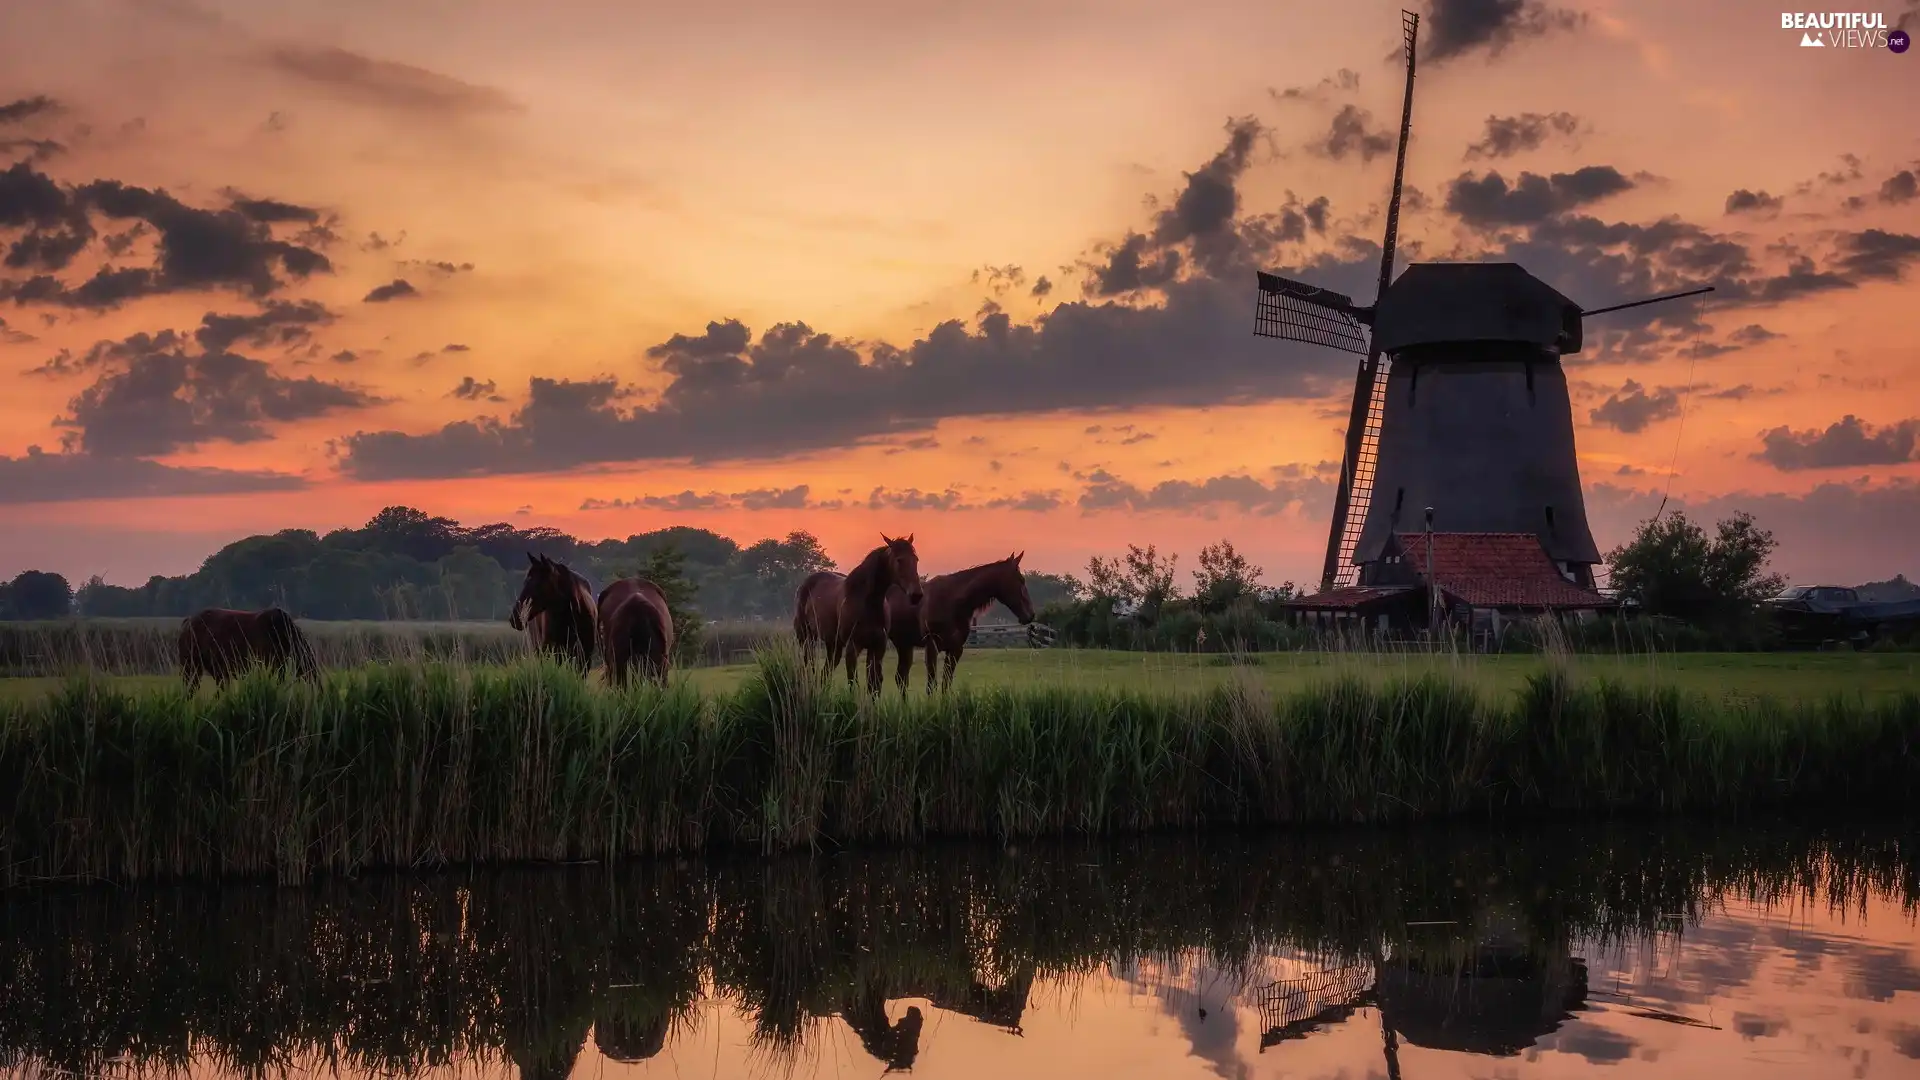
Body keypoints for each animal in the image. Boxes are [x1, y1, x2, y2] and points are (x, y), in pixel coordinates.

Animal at [787, 534, 921, 691]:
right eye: (899, 560)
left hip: (834, 645)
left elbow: (874, 684)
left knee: (825, 672)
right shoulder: (853, 647)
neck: (868, 604)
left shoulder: (877, 647)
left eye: (916, 559)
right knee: (808, 665)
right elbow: (853, 681)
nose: (917, 595)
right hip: (807, 638)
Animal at [883, 549, 1036, 691]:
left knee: (901, 678)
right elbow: (931, 685)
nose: (1030, 615)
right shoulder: (931, 646)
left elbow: (946, 683)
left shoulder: (955, 649)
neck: (952, 602)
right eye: (1020, 580)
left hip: (904, 644)